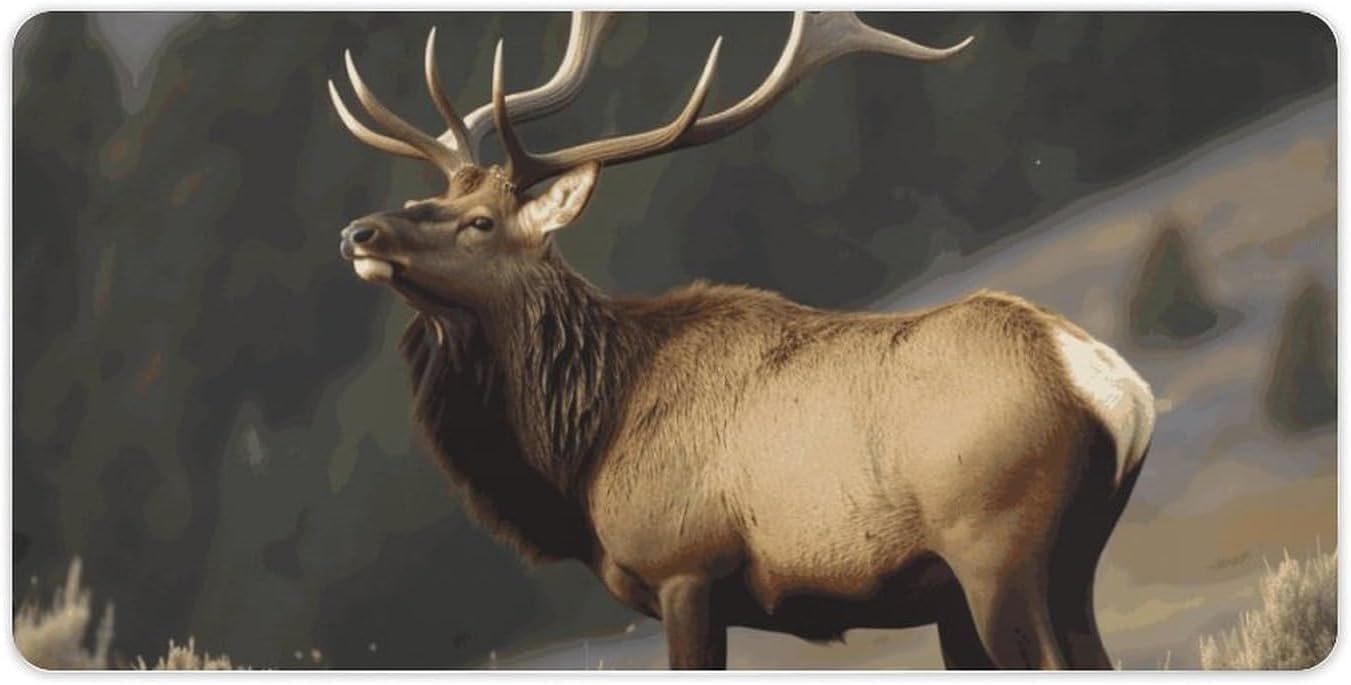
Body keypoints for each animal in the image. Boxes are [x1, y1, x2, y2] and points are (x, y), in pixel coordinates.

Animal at [327, 11, 1156, 670]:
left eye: (480, 222)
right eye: (425, 198)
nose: (359, 231)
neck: (582, 451)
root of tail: (1107, 383)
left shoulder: (686, 569)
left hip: (995, 548)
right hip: (1067, 558)